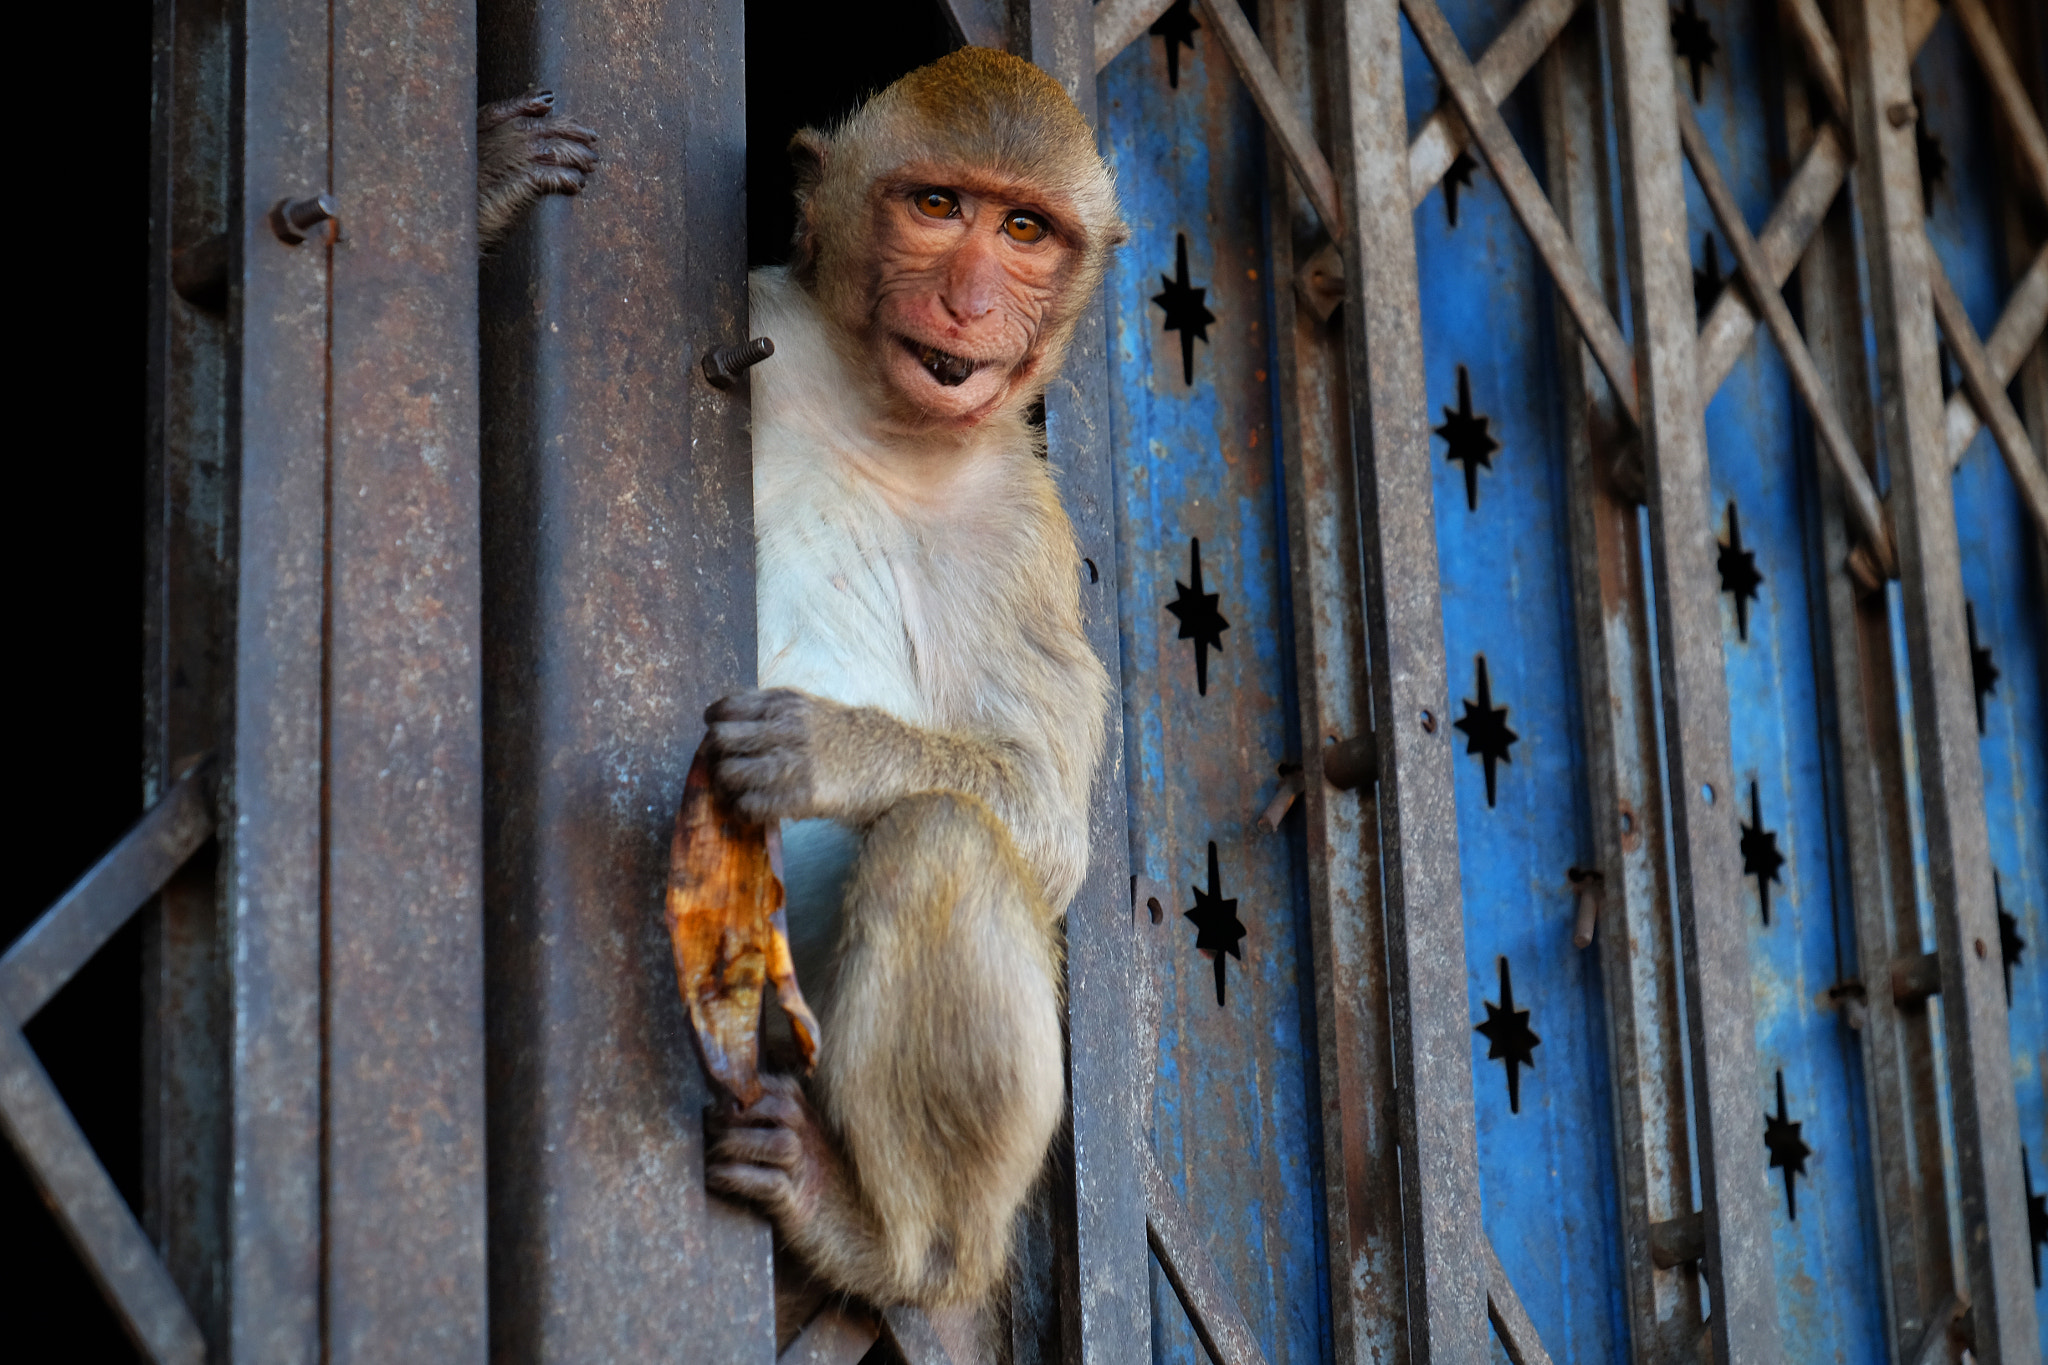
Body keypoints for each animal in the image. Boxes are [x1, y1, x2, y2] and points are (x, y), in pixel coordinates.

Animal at [700, 45, 1122, 1358]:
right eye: (938, 207)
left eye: (1024, 230)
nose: (972, 304)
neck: (881, 420)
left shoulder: (1025, 532)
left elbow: (1045, 827)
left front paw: (826, 749)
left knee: (945, 840)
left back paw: (883, 1242)